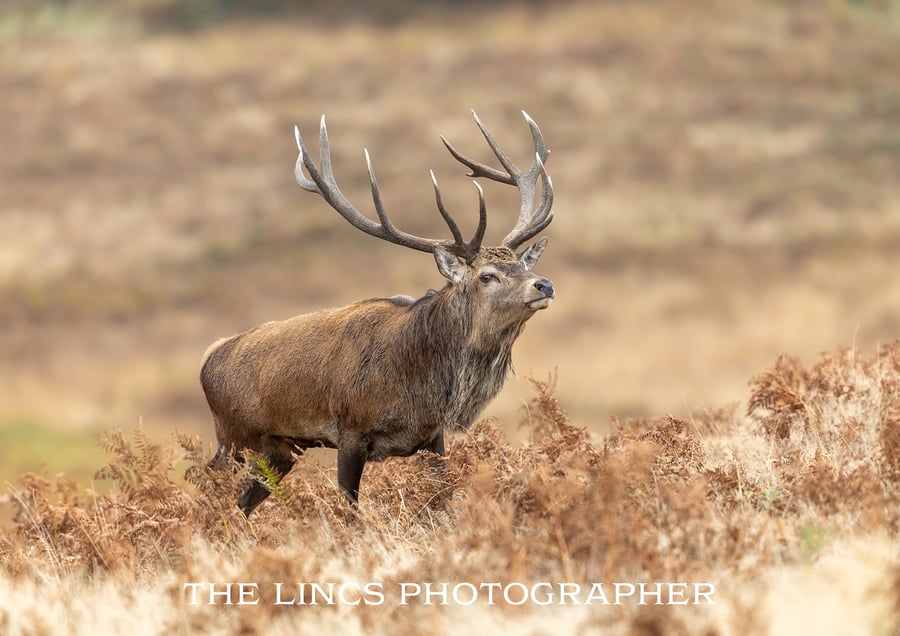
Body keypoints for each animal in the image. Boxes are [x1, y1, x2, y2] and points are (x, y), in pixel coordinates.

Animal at [200, 110, 555, 517]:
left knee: (241, 502)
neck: (423, 386)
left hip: (279, 448)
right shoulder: (350, 430)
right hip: (232, 437)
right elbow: (350, 509)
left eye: (522, 265)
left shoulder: (431, 437)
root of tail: (209, 356)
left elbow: (443, 496)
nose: (544, 285)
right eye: (487, 275)